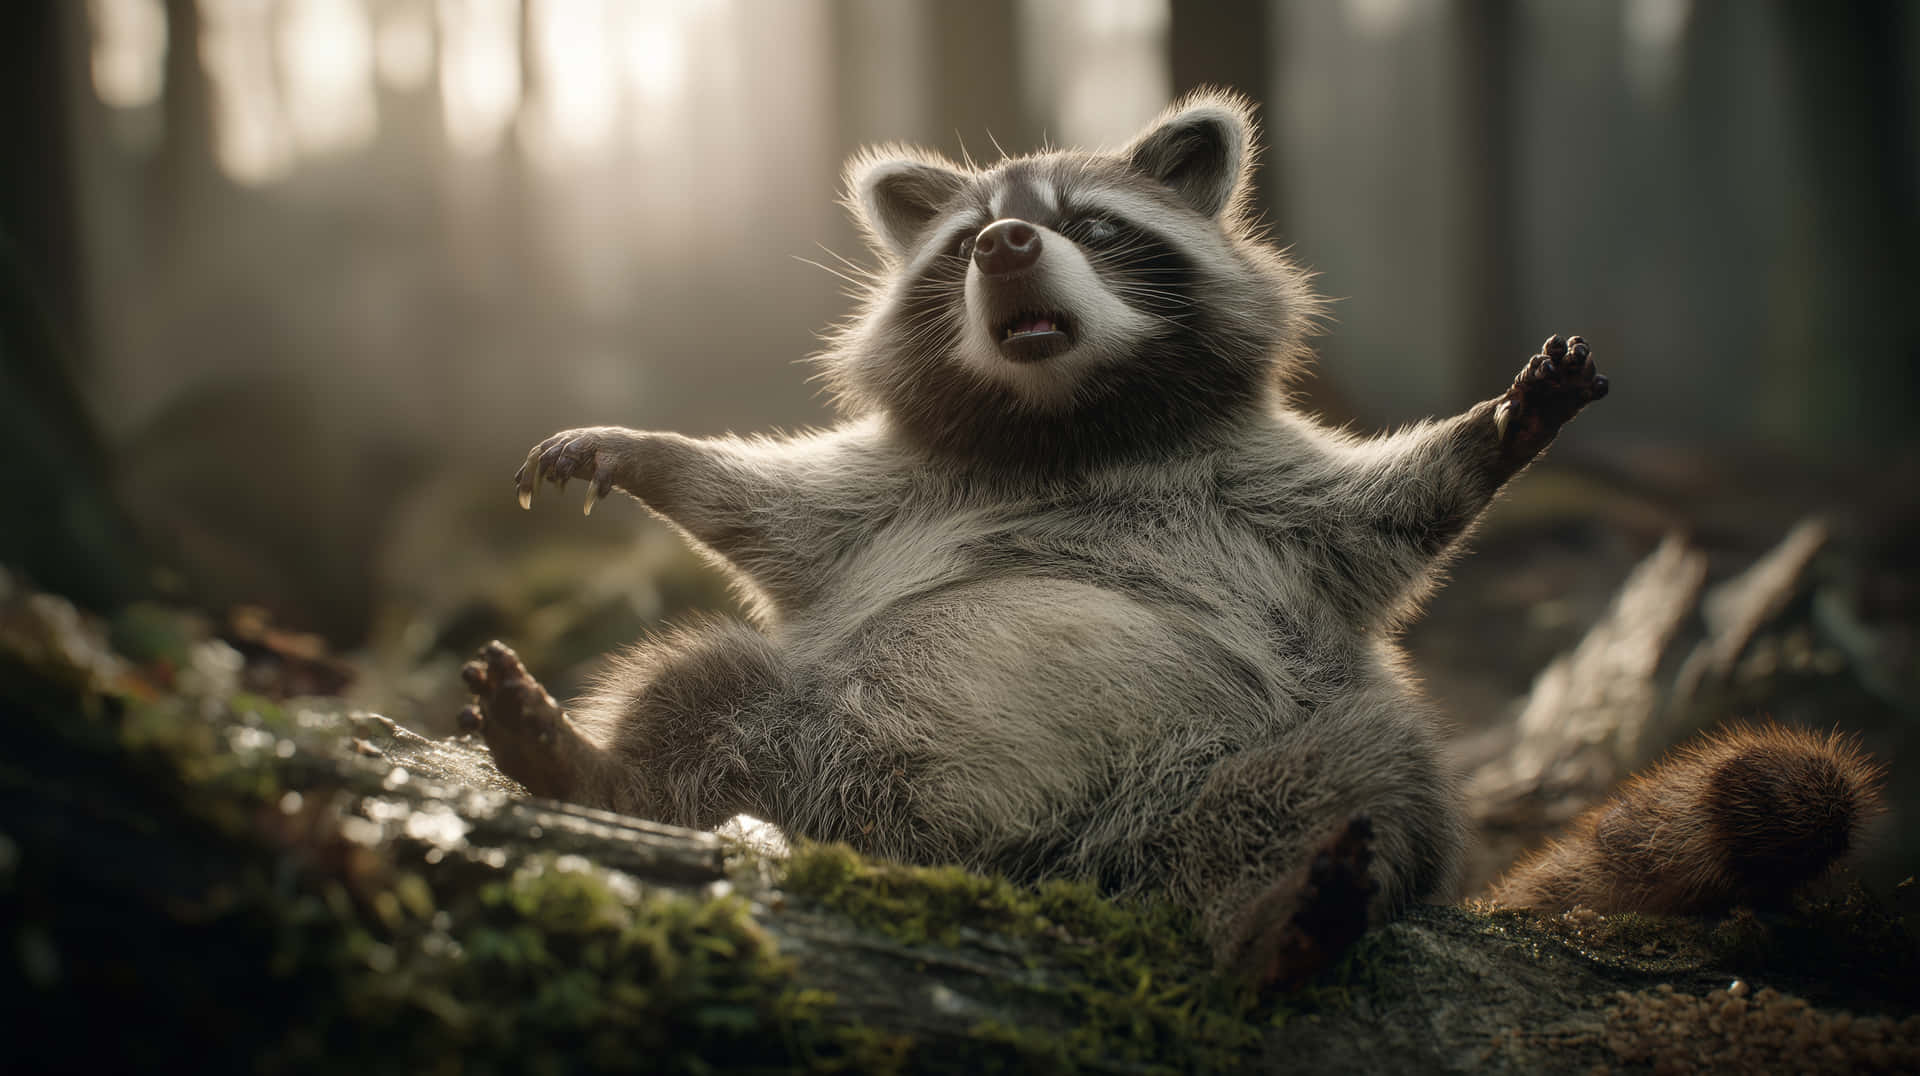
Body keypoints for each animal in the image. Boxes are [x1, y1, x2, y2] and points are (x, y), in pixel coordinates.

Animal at [463, 90, 1614, 985]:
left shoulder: (1273, 497)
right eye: (968, 233)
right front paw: (655, 454)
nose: (1006, 242)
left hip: (1260, 751)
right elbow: (767, 505)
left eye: (1091, 226)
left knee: (1363, 777)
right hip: (794, 722)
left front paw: (1495, 430)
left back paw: (1284, 920)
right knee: (692, 689)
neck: (1061, 427)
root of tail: (1004, 852)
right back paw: (594, 770)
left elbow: (1390, 504)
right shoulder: (884, 495)